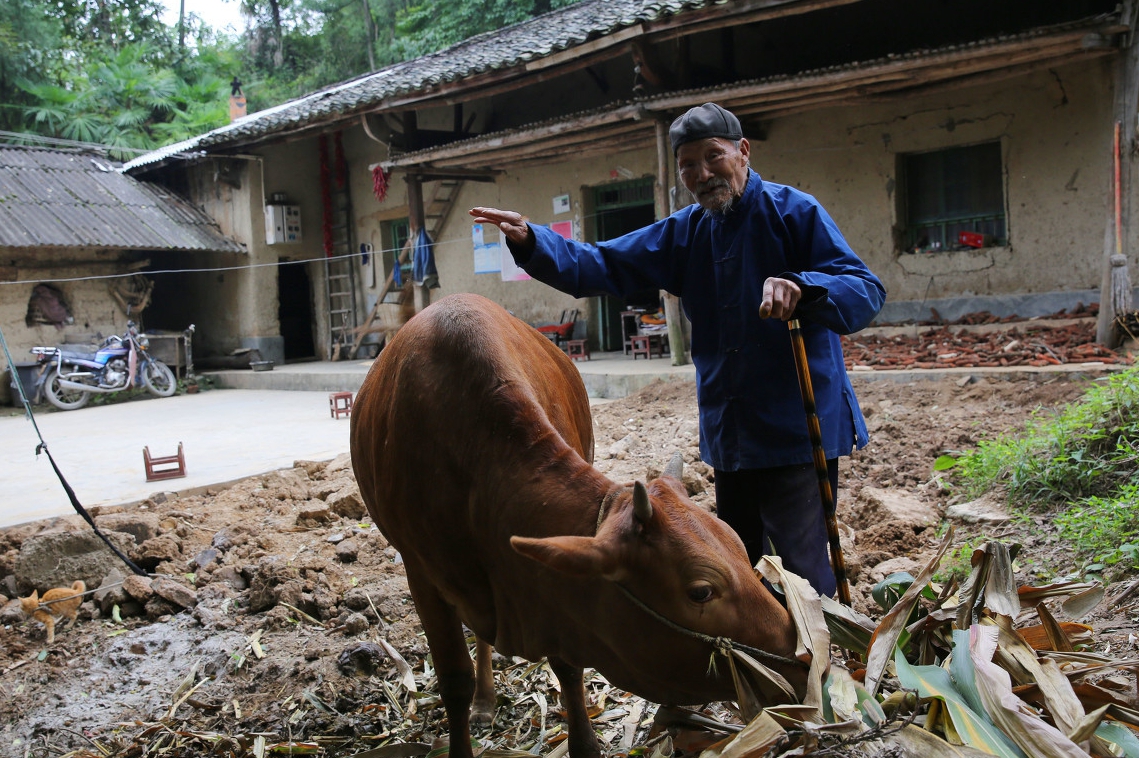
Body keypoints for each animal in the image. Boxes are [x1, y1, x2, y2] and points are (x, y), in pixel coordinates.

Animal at [350, 291, 806, 756]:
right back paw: (483, 701)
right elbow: (453, 682)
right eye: (701, 591)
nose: (804, 660)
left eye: (741, 549)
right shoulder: (421, 576)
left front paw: (583, 742)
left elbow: (567, 667)